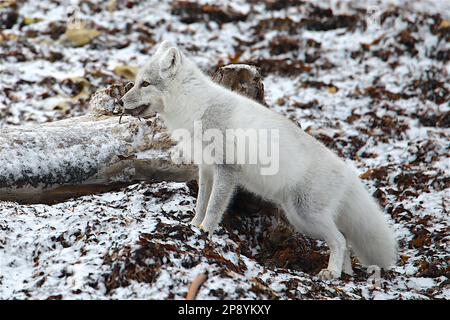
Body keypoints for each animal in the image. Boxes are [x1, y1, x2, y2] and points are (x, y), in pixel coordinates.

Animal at [120, 40, 398, 280]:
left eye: (145, 83)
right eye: (137, 82)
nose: (121, 102)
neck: (195, 108)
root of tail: (347, 172)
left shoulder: (226, 169)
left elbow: (214, 207)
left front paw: (205, 232)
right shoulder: (206, 168)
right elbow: (200, 204)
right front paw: (193, 226)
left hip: (306, 214)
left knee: (340, 240)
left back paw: (331, 273)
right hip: (301, 218)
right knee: (345, 240)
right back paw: (345, 274)